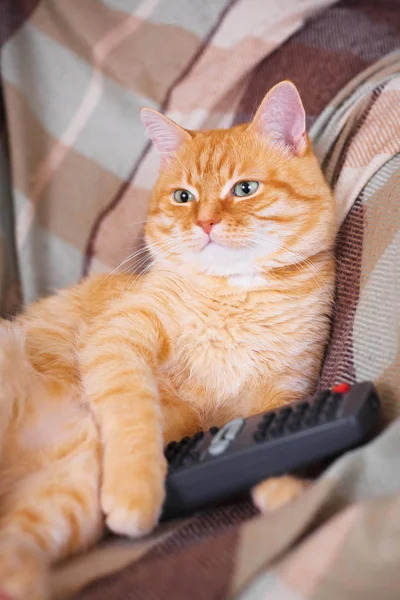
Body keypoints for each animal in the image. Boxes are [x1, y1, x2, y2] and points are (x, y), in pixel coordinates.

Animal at [0, 81, 336, 600]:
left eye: (244, 189)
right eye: (183, 196)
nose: (205, 223)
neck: (236, 295)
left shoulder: (283, 392)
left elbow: (267, 433)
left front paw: (285, 489)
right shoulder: (118, 336)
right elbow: (134, 414)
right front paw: (136, 490)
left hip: (64, 492)